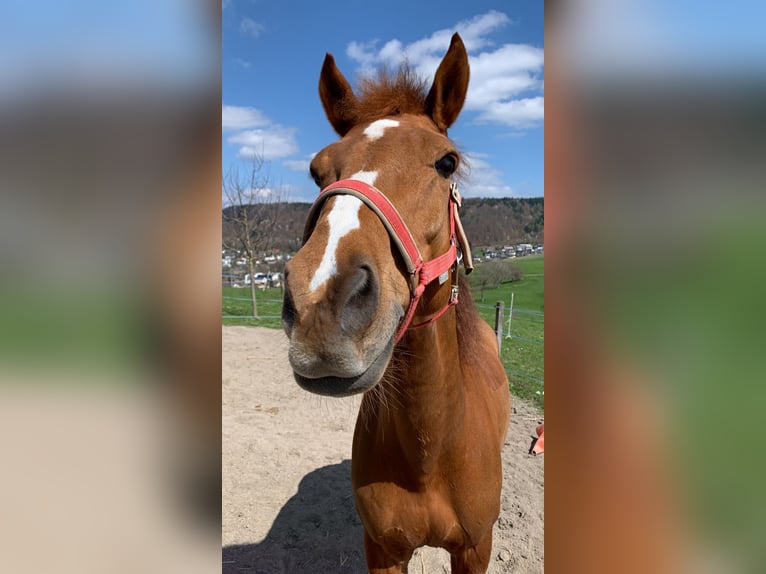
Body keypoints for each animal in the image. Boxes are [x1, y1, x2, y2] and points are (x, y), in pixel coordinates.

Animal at [281, 33, 511, 573]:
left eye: (447, 162)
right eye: (316, 171)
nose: (321, 303)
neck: (431, 454)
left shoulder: (475, 550)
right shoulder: (382, 549)